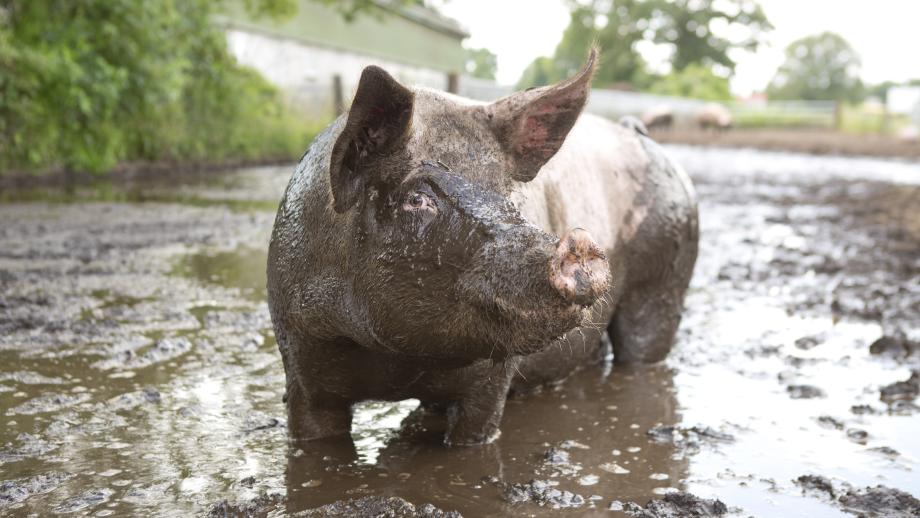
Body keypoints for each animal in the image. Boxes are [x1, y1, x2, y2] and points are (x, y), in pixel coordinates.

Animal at [266, 49, 696, 446]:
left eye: (507, 192)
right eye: (417, 198)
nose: (579, 243)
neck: (394, 362)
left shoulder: (490, 380)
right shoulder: (300, 358)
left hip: (665, 279)